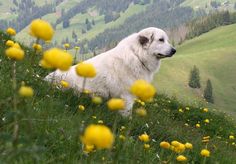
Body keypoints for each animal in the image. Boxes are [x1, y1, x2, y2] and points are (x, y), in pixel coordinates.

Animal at [45, 27, 176, 116]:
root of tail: (45, 79)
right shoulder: (127, 96)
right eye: (161, 40)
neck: (138, 55)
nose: (174, 50)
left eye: (167, 40)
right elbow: (127, 114)